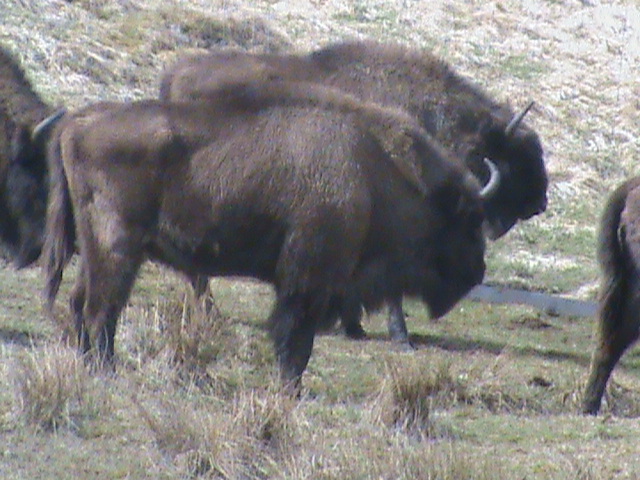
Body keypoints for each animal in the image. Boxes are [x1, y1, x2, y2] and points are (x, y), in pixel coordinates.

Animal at [43, 80, 490, 388]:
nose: (478, 271)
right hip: (117, 246)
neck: (371, 171)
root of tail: (78, 122)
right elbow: (295, 342)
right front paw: (290, 389)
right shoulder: (307, 282)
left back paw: (89, 365)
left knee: (80, 302)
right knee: (101, 309)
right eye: (468, 222)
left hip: (94, 247)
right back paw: (107, 371)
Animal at [159, 39, 547, 343]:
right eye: (517, 155)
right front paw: (397, 335)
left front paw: (353, 326)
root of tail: (173, 76)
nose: (540, 202)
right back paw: (211, 313)